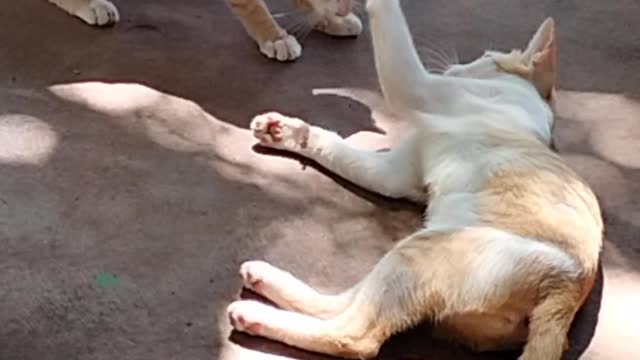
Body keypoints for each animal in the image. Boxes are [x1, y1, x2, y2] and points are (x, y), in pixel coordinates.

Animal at [226, 0, 604, 358]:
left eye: (484, 56)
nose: (455, 67)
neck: (527, 103)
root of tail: (566, 295)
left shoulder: (416, 88)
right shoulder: (394, 173)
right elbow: (334, 148)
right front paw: (287, 132)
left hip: (419, 253)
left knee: (354, 336)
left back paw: (252, 315)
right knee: (342, 303)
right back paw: (264, 278)